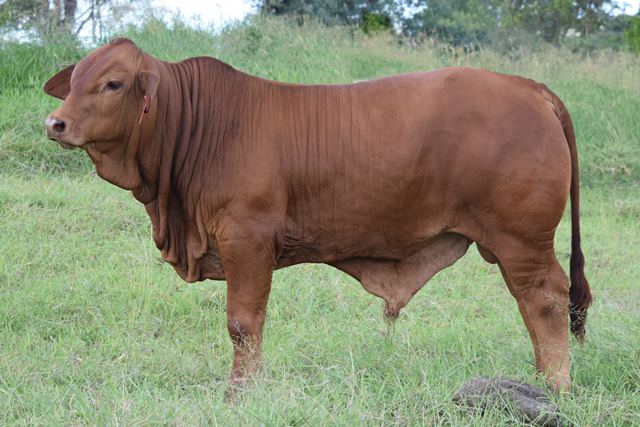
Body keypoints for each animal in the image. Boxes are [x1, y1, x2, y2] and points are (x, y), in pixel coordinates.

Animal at [44, 38, 592, 393]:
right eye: (74, 81)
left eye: (113, 83)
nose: (55, 123)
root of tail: (527, 86)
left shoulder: (247, 239)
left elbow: (243, 324)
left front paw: (240, 394)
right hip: (511, 244)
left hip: (520, 240)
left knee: (545, 302)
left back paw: (554, 389)